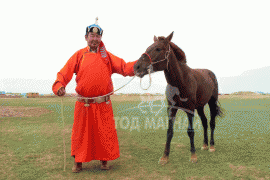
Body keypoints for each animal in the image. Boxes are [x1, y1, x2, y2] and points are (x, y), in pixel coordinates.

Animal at [134, 31, 223, 164]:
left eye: (158, 48)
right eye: (147, 48)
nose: (137, 67)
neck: (181, 81)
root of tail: (210, 73)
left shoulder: (190, 109)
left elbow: (190, 131)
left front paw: (193, 156)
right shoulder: (171, 109)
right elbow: (169, 132)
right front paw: (165, 157)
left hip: (212, 102)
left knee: (211, 123)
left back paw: (211, 146)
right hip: (200, 106)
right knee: (204, 122)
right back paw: (205, 145)